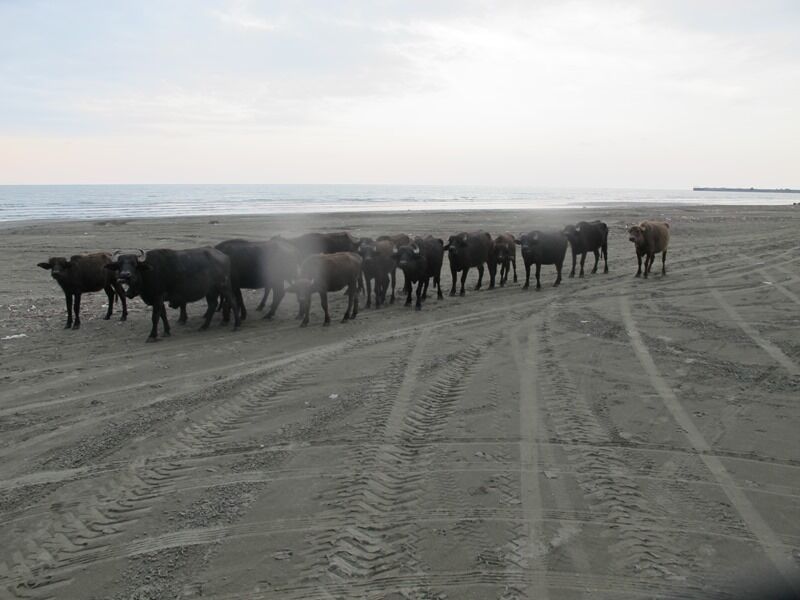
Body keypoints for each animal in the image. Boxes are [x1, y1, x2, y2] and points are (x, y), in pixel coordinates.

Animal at [105, 248, 241, 342]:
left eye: (134, 263)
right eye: (120, 264)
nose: (125, 275)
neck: (147, 273)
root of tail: (225, 256)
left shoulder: (157, 297)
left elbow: (155, 317)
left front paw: (152, 336)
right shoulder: (159, 300)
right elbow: (163, 315)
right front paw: (167, 331)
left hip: (224, 287)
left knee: (233, 302)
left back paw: (236, 325)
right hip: (211, 291)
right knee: (213, 305)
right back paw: (204, 326)